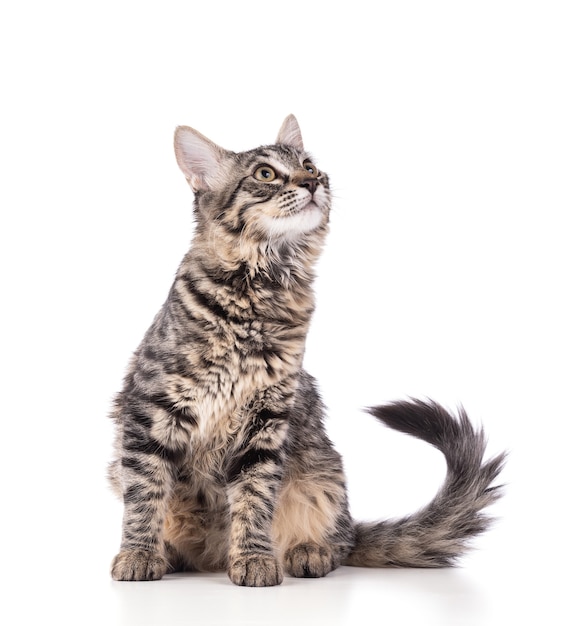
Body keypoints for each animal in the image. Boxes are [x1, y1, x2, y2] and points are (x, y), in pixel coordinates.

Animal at [107, 113, 502, 584]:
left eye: (309, 165)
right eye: (265, 174)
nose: (312, 182)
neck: (262, 285)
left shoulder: (266, 420)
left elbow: (254, 498)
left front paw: (254, 558)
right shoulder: (150, 411)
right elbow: (145, 494)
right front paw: (138, 554)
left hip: (323, 477)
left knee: (339, 540)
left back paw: (306, 552)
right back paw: (172, 553)